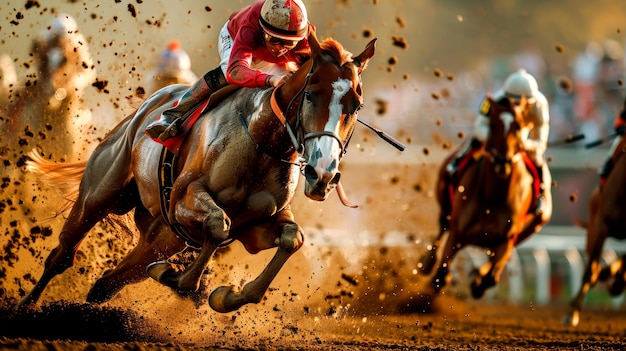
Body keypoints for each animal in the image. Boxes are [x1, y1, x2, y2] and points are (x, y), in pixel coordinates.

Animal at [15, 29, 376, 314]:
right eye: (311, 94)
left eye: (356, 105)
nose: (323, 174)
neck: (260, 140)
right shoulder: (184, 201)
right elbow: (217, 225)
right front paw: (175, 277)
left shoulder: (257, 226)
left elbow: (292, 238)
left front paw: (225, 295)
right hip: (100, 195)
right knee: (63, 255)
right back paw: (26, 307)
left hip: (164, 237)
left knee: (109, 283)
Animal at [416, 96, 548, 300]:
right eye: (493, 124)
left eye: (518, 126)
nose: (502, 161)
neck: (492, 196)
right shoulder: (457, 232)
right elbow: (441, 275)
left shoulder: (506, 239)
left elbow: (492, 277)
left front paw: (478, 281)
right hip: (445, 203)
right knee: (441, 228)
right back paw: (427, 262)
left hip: (534, 224)